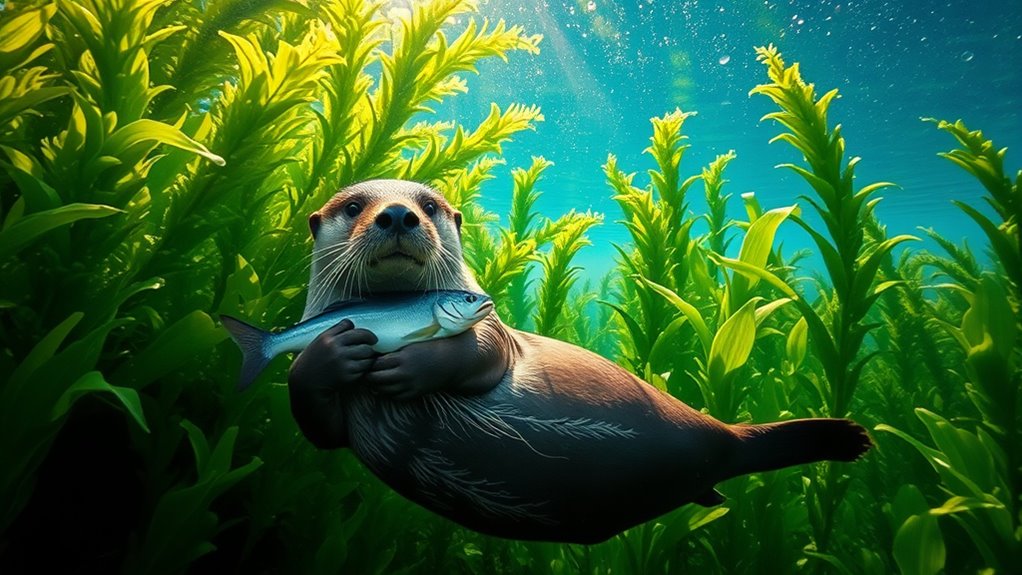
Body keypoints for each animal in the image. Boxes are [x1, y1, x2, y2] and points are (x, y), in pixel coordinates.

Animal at [288, 179, 871, 544]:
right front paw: (328, 355)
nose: (397, 213)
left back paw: (848, 437)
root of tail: (726, 433)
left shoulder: (497, 331)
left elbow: (479, 351)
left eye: (430, 205)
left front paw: (410, 369)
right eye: (353, 205)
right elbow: (316, 420)